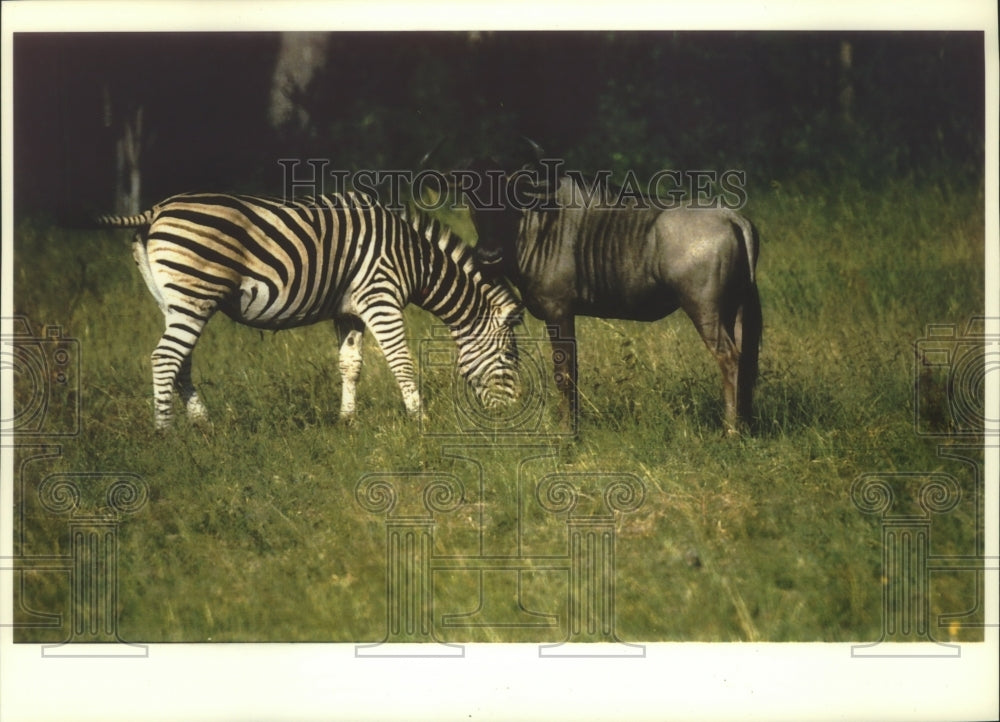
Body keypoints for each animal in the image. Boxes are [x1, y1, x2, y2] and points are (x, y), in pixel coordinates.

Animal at [95, 191, 524, 428]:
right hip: (194, 295)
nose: (509, 416)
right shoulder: (380, 297)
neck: (413, 258)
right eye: (509, 358)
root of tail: (156, 210)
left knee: (180, 360)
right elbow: (401, 362)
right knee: (165, 358)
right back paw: (165, 432)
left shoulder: (349, 310)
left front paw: (347, 421)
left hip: (173, 301)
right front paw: (420, 420)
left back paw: (203, 424)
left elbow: (350, 365)